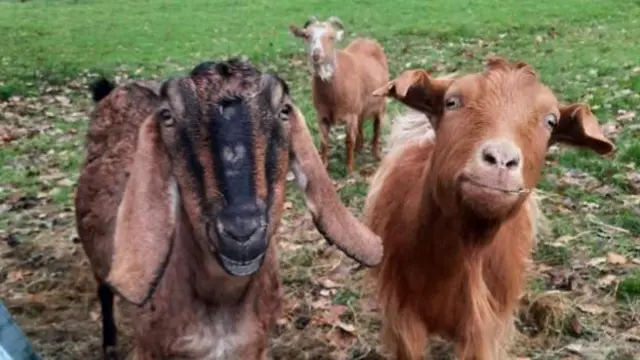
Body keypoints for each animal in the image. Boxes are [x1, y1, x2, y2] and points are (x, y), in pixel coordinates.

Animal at [290, 16, 390, 174]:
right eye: (306, 35)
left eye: (331, 37)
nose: (316, 55)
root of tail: (367, 40)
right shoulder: (322, 115)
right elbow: (323, 142)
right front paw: (324, 165)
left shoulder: (350, 115)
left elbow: (348, 140)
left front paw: (349, 168)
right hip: (360, 107)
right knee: (361, 124)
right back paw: (359, 147)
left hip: (380, 103)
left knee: (376, 127)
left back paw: (375, 154)